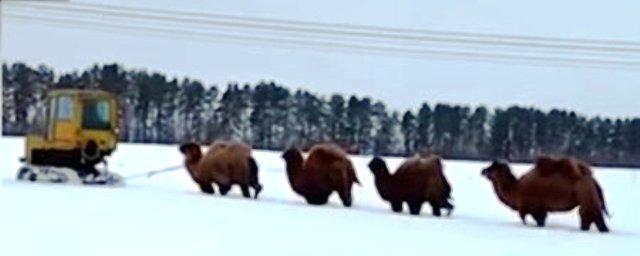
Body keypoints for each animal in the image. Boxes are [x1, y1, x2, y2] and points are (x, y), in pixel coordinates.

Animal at [480, 157, 608, 233]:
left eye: (493, 168)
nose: (483, 170)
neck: (516, 189)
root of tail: (593, 180)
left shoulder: (534, 210)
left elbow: (531, 220)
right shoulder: (541, 210)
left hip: (587, 196)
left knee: (593, 217)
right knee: (587, 217)